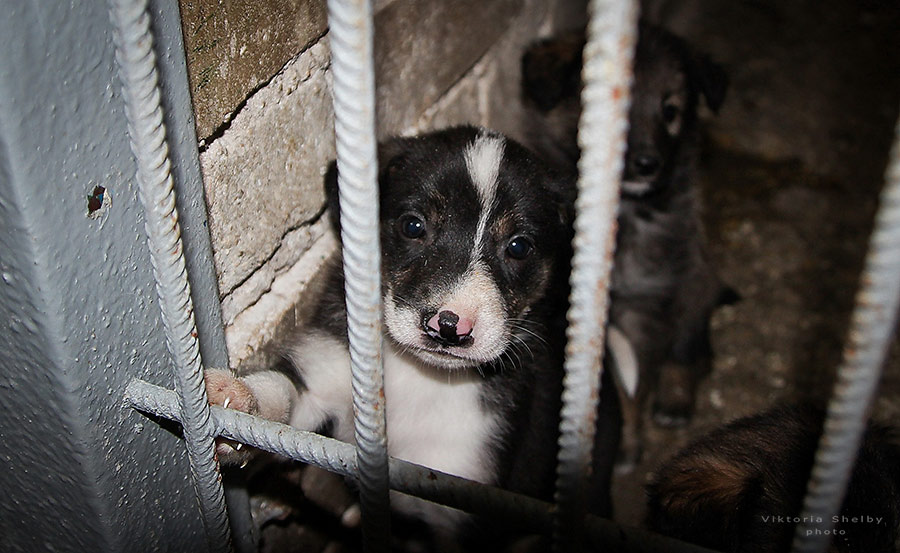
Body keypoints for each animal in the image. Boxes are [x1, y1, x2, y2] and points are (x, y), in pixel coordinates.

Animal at [207, 126, 624, 548]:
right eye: (413, 226)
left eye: (519, 246)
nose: (449, 327)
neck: (420, 376)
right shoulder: (323, 374)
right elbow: (278, 400)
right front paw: (234, 402)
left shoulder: (464, 512)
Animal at [520, 20, 732, 466]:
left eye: (671, 111)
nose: (648, 164)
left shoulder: (643, 306)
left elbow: (635, 385)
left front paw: (626, 443)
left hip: (695, 282)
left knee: (692, 351)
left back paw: (675, 398)